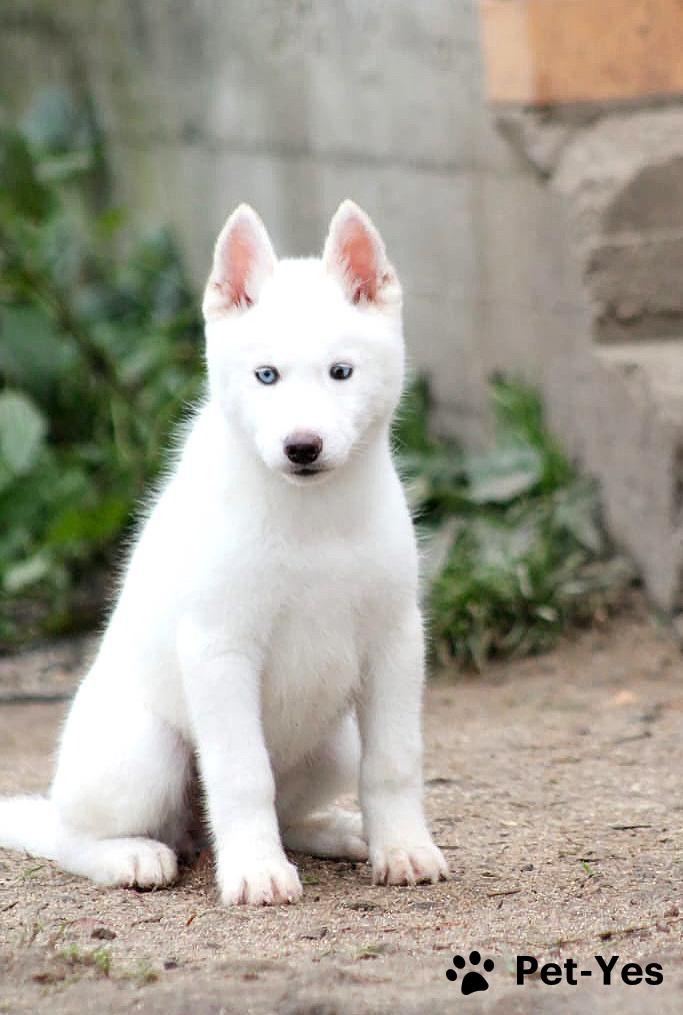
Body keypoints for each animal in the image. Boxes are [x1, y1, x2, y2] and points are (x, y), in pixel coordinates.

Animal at [0, 200, 448, 905]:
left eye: (341, 372)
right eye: (266, 376)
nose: (302, 447)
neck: (309, 516)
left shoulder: (395, 640)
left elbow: (394, 762)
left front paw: (401, 847)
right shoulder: (220, 649)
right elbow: (241, 776)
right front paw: (257, 872)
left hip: (334, 743)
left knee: (287, 813)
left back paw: (340, 831)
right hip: (144, 751)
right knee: (75, 837)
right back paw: (133, 856)